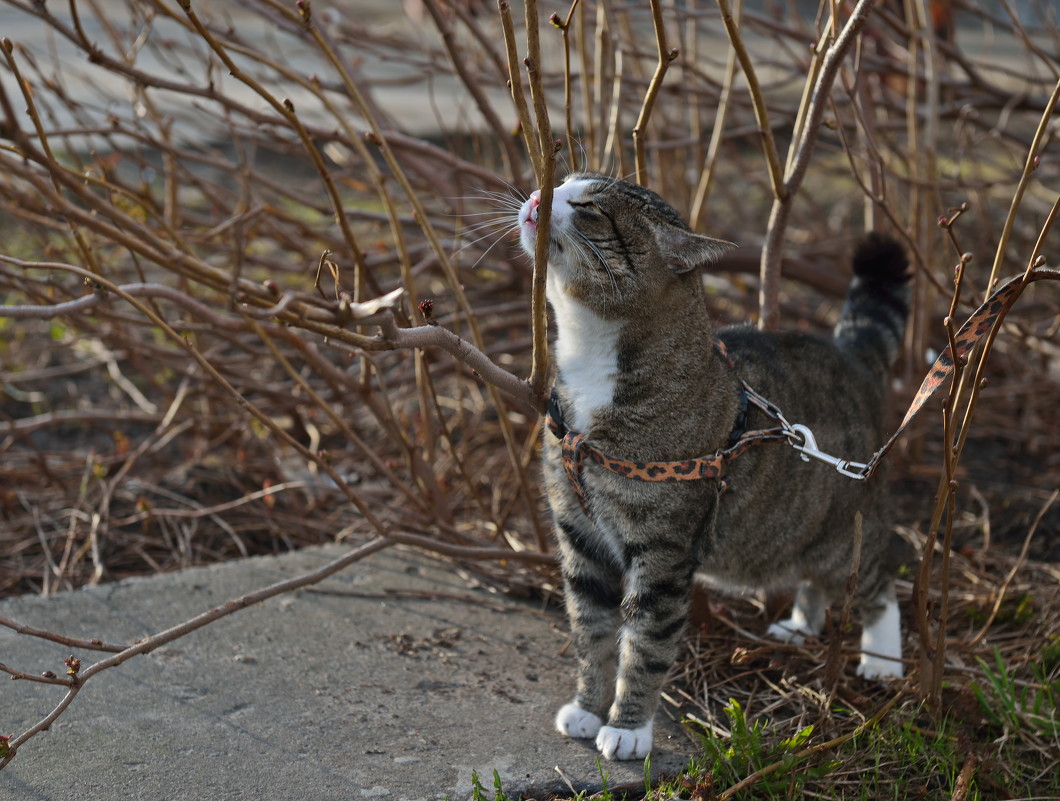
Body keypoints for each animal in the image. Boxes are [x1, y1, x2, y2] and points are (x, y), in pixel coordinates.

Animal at [517, 171, 907, 758]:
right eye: (563, 182)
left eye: (588, 207)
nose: (539, 195)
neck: (590, 363)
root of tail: (848, 353)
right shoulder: (580, 536)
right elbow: (592, 633)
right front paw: (587, 708)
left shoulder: (663, 553)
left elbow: (645, 644)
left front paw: (628, 729)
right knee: (814, 576)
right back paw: (801, 624)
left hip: (844, 535)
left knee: (878, 574)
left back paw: (883, 659)